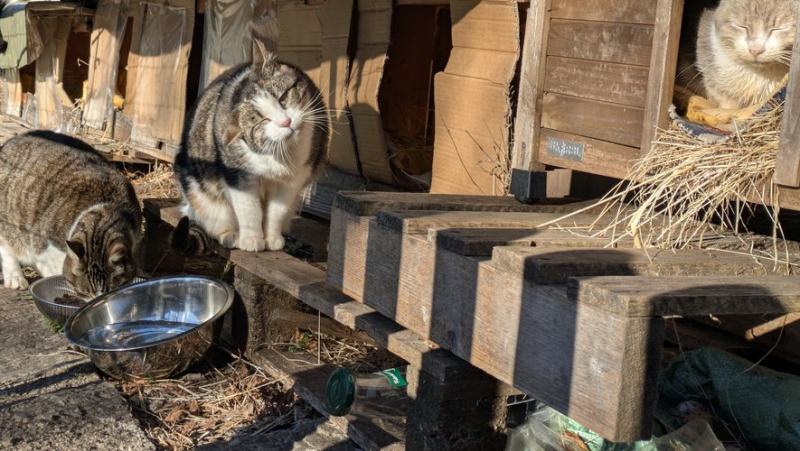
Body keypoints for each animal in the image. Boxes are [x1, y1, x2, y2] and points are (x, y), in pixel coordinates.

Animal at [172, 36, 328, 254]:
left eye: (283, 97)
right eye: (262, 121)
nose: (286, 122)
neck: (281, 153)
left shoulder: (295, 178)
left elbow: (277, 211)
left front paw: (272, 239)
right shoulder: (238, 174)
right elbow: (248, 209)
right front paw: (252, 240)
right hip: (197, 191)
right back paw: (231, 236)